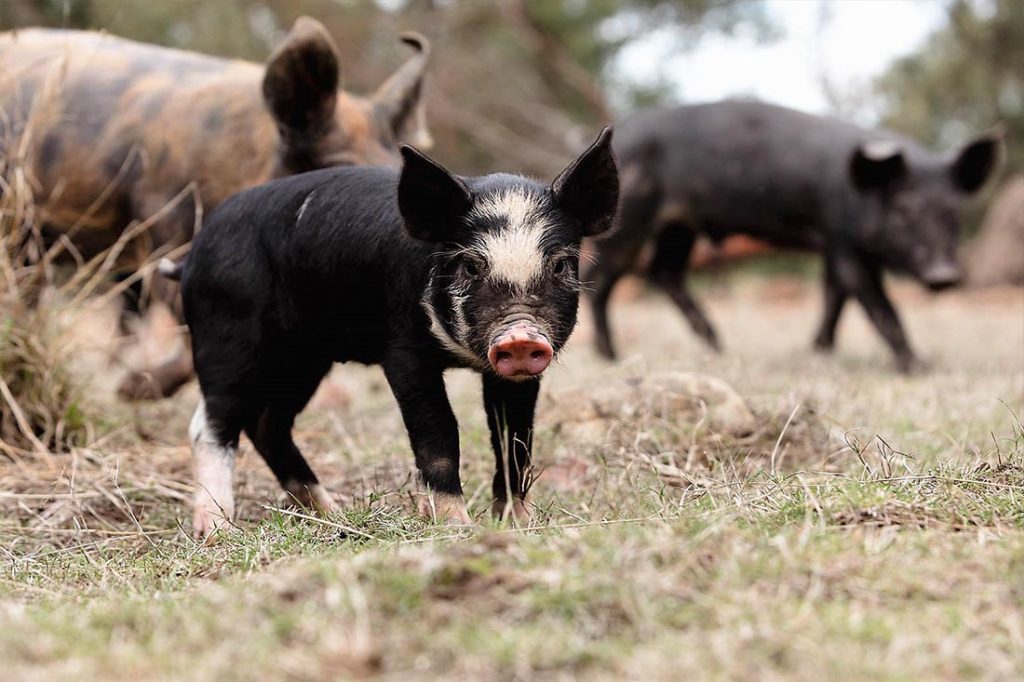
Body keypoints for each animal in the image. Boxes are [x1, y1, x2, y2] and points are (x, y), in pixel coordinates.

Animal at [176, 125, 614, 532]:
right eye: (470, 266)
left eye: (561, 265)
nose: (521, 335)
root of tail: (192, 257)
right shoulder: (403, 354)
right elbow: (438, 436)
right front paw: (457, 525)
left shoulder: (517, 376)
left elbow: (515, 439)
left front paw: (518, 523)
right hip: (226, 331)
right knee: (209, 424)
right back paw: (217, 530)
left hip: (302, 358)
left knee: (267, 424)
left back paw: (332, 513)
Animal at [593, 98, 999, 368]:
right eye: (904, 210)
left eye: (954, 212)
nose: (945, 276)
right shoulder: (841, 236)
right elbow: (876, 301)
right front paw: (919, 366)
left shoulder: (832, 244)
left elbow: (835, 294)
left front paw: (821, 351)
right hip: (631, 219)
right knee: (603, 277)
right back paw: (611, 356)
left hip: (679, 225)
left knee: (665, 271)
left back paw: (719, 348)